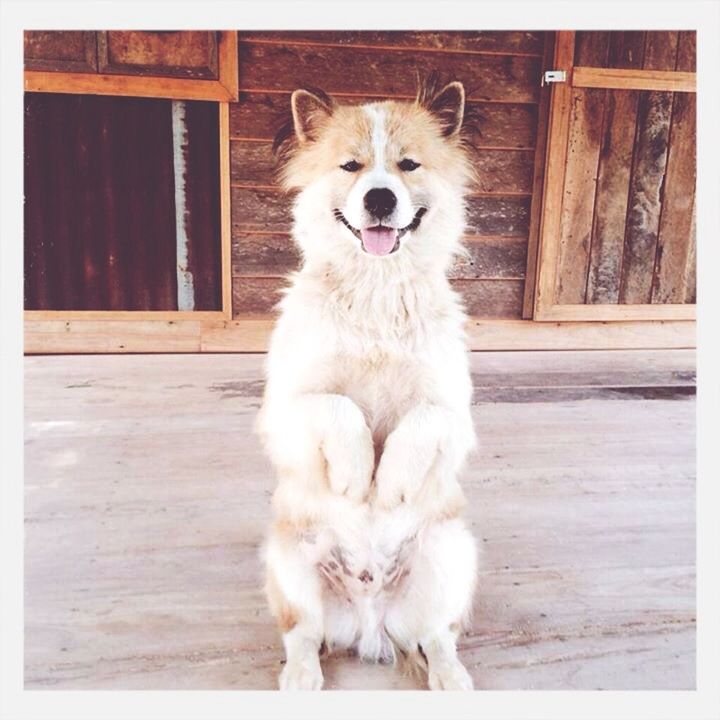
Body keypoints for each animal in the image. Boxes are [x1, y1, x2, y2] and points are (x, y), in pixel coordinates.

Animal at [258, 74, 478, 692]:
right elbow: (337, 406)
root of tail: (370, 619)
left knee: (436, 637)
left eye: (408, 164)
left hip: (452, 552)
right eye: (351, 166)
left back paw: (452, 679)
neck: (377, 293)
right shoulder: (282, 409)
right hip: (287, 559)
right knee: (304, 636)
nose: (380, 199)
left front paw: (393, 481)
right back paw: (300, 679)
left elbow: (423, 420)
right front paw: (358, 475)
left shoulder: (457, 414)